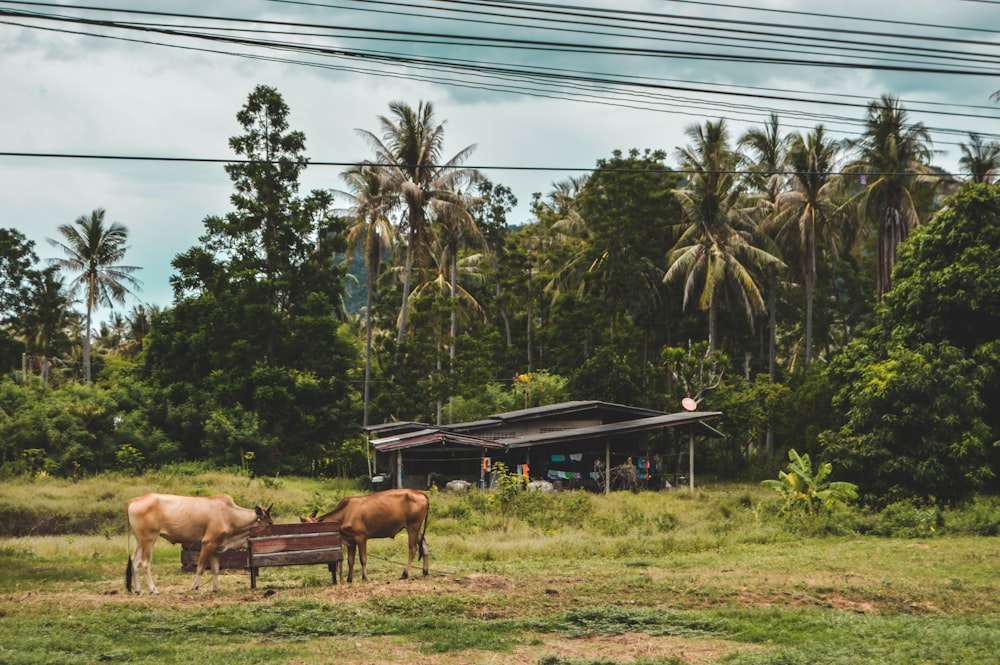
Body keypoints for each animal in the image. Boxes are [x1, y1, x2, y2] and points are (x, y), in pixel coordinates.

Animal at [125, 492, 274, 592]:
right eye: (270, 522)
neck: (229, 515)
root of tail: (133, 501)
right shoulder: (208, 543)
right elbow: (201, 567)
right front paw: (194, 587)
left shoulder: (215, 547)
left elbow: (215, 569)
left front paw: (216, 589)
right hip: (149, 538)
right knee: (145, 563)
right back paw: (153, 590)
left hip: (140, 540)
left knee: (135, 561)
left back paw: (138, 590)